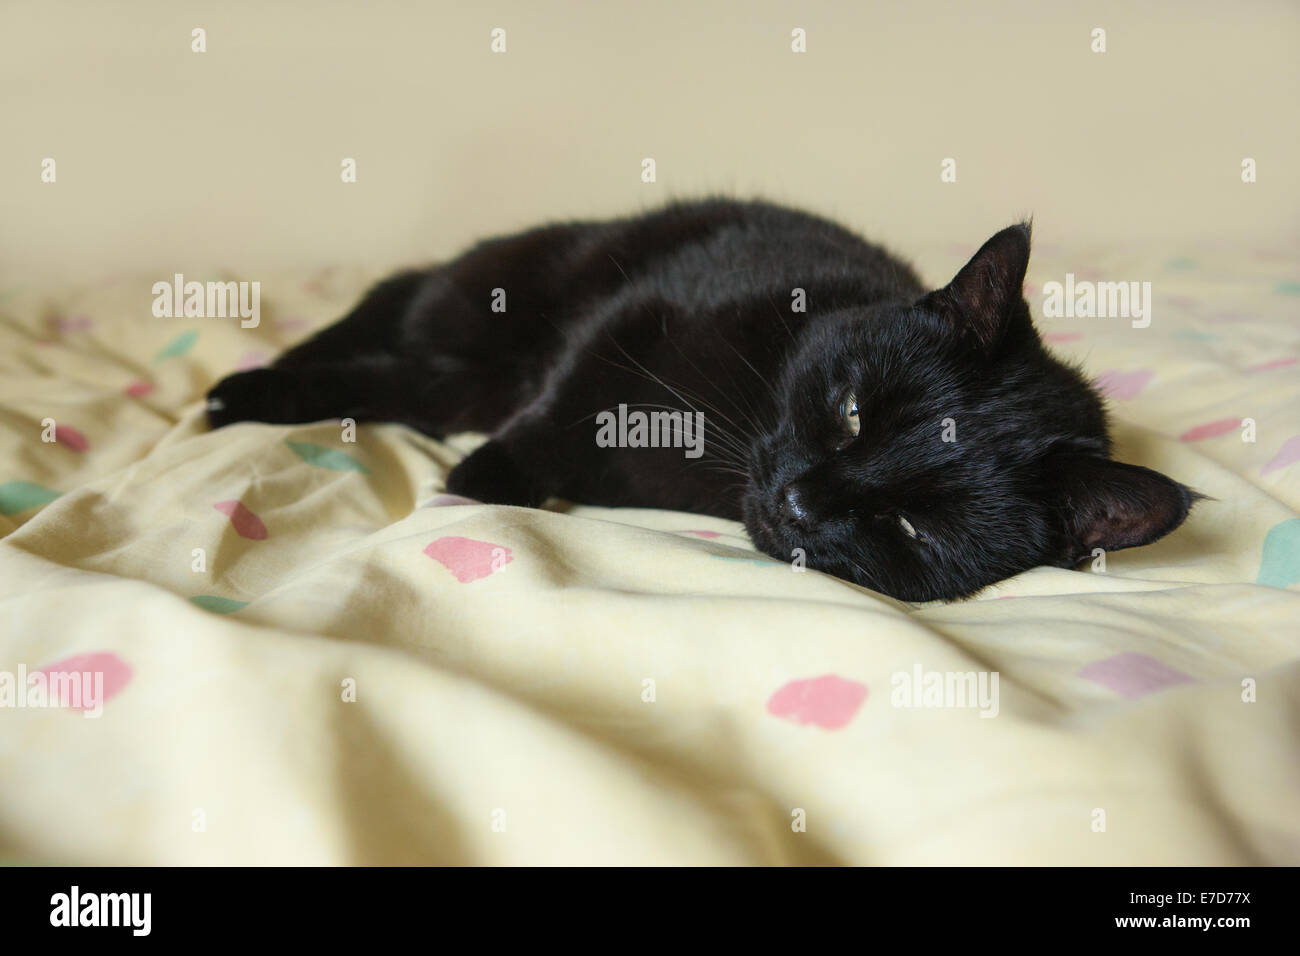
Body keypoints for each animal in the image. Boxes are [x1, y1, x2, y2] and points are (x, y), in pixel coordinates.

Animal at [205, 199, 1196, 600]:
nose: (801, 501)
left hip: (460, 372)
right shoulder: (633, 318)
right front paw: (484, 480)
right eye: (852, 413)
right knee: (386, 320)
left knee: (404, 376)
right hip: (482, 300)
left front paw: (485, 487)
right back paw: (240, 390)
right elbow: (563, 408)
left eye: (914, 526)